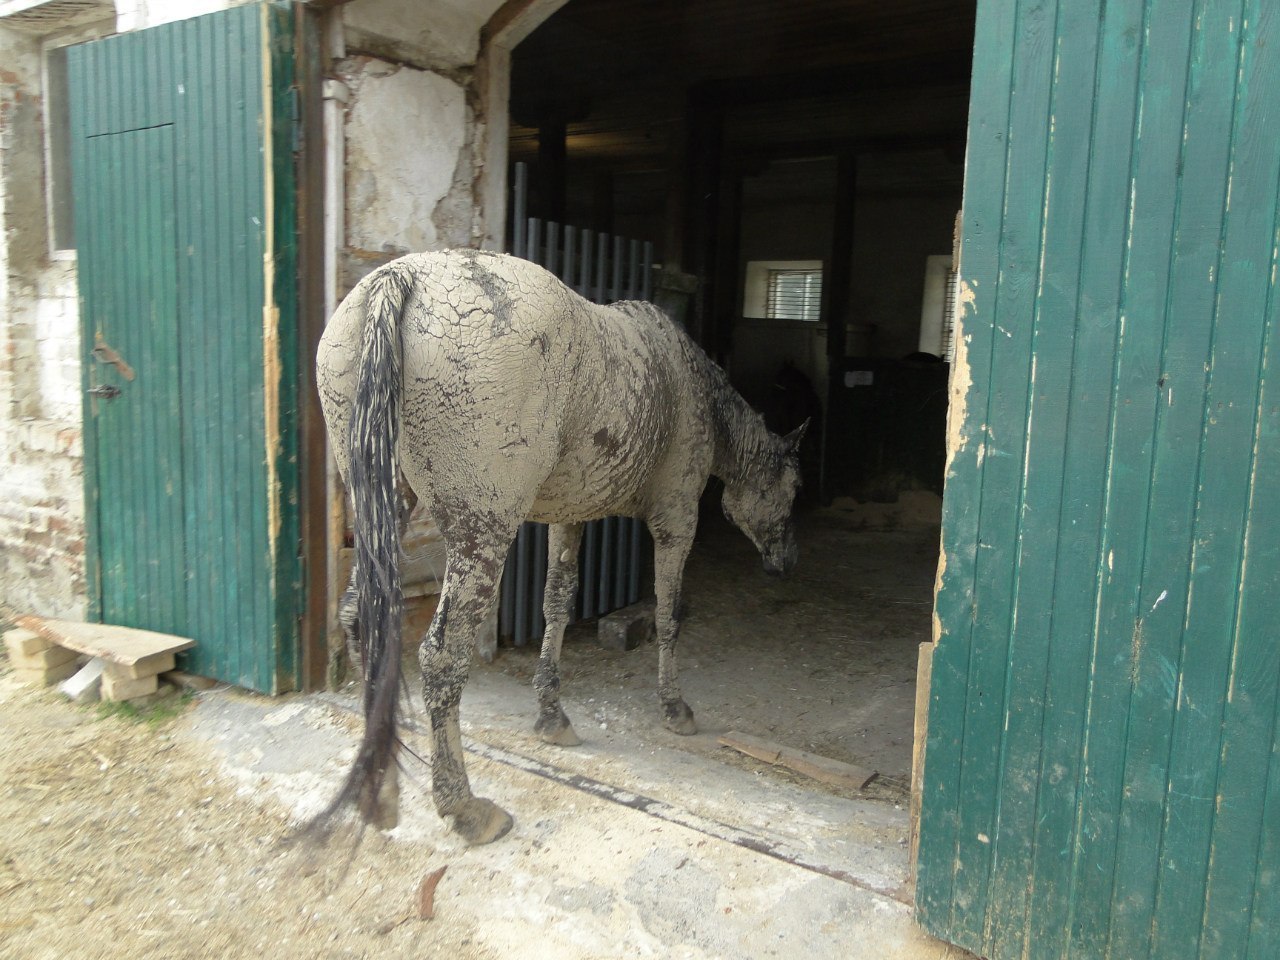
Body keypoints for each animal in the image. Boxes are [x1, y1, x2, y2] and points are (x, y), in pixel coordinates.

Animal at [314, 252, 803, 844]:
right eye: (795, 489)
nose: (786, 562)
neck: (692, 389)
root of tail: (399, 279)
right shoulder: (676, 522)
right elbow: (669, 614)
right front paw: (675, 708)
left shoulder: (569, 519)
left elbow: (557, 603)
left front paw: (552, 714)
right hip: (482, 535)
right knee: (441, 657)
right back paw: (464, 807)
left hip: (382, 508)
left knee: (358, 617)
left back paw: (381, 789)